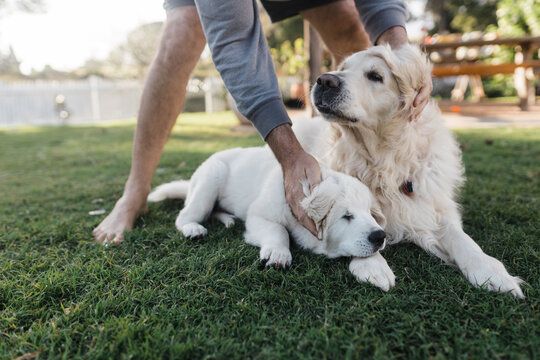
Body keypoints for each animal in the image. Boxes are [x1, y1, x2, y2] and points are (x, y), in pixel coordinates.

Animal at [148, 146, 396, 290]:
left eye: (370, 214)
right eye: (346, 216)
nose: (379, 236)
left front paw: (375, 267)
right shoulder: (259, 216)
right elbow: (279, 230)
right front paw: (278, 253)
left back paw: (228, 218)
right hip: (211, 179)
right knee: (184, 215)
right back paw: (193, 228)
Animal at [294, 44, 524, 298]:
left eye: (375, 76)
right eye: (343, 69)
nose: (325, 80)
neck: (384, 160)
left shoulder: (432, 207)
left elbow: (463, 239)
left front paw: (491, 271)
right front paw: (373, 265)